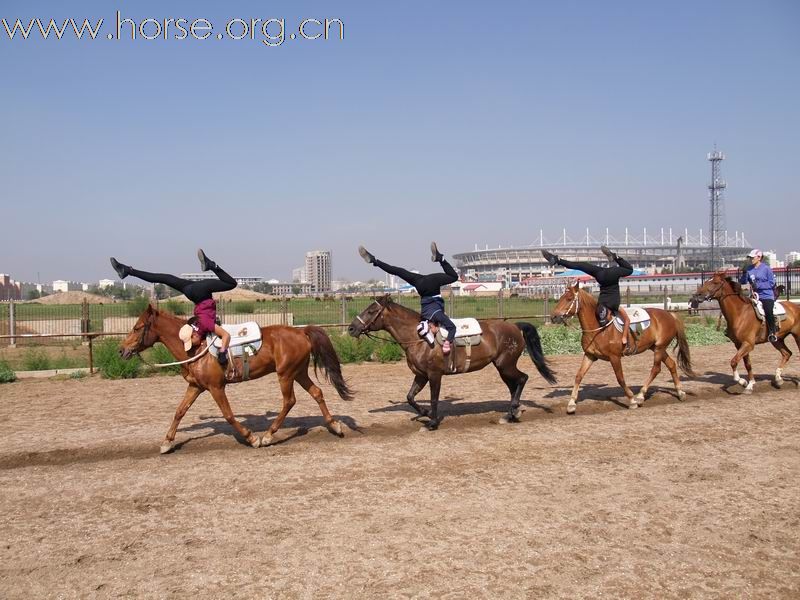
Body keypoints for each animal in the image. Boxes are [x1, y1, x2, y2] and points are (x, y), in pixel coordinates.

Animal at [119, 308, 354, 452]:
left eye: (137, 328)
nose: (121, 350)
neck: (194, 347)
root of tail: (302, 331)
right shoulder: (195, 386)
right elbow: (179, 412)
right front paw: (167, 443)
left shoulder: (216, 387)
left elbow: (229, 415)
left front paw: (251, 438)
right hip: (298, 373)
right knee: (317, 393)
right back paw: (335, 426)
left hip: (286, 375)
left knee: (289, 401)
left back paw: (268, 436)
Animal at [346, 294, 552, 426]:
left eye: (371, 311)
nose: (351, 328)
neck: (420, 338)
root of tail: (515, 327)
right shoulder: (421, 375)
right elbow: (410, 397)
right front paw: (425, 413)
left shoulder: (434, 375)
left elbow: (434, 398)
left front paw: (432, 422)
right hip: (502, 367)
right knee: (513, 385)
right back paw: (512, 413)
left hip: (506, 365)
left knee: (522, 379)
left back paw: (512, 411)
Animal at [552, 282, 692, 412]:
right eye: (561, 297)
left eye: (569, 298)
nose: (554, 317)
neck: (600, 328)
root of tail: (670, 314)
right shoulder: (590, 356)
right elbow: (578, 376)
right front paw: (571, 404)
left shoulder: (615, 357)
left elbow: (620, 379)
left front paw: (632, 400)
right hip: (656, 348)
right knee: (671, 364)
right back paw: (680, 392)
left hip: (659, 348)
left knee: (656, 369)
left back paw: (640, 396)